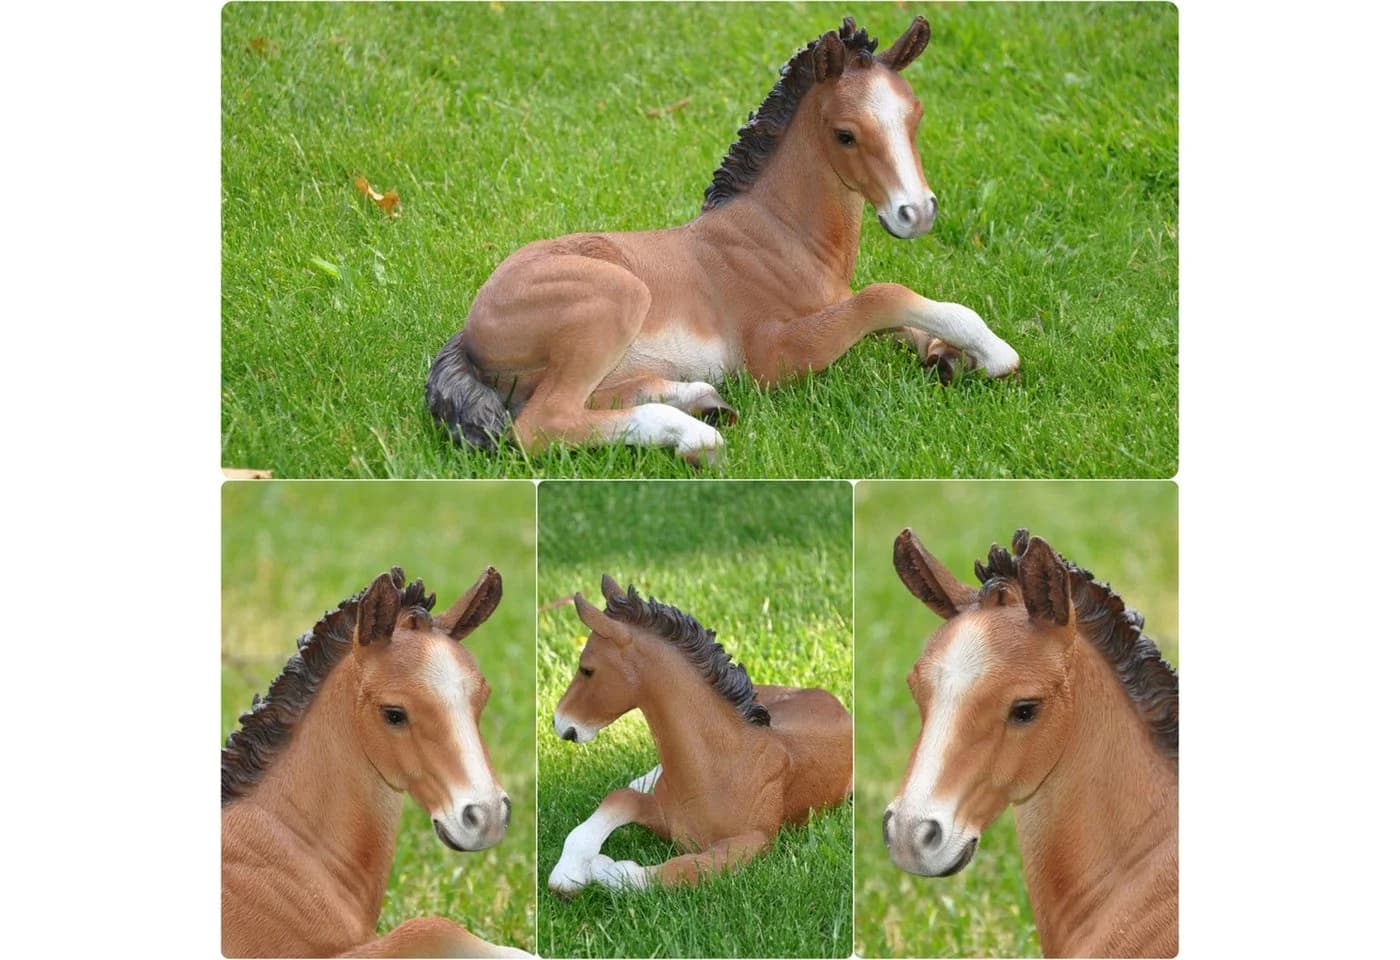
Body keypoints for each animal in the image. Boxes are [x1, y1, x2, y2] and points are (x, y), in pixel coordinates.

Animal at [426, 16, 1020, 464]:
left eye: (915, 117)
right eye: (845, 134)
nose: (915, 213)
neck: (780, 234)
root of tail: (471, 328)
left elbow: (900, 319)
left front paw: (949, 355)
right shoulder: (773, 355)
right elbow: (885, 297)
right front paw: (993, 354)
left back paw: (699, 398)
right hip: (617, 298)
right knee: (543, 423)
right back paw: (693, 433)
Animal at [545, 576, 852, 893]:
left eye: (586, 669)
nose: (560, 721)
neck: (716, 767)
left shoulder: (754, 842)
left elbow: (680, 870)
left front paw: (599, 867)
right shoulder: (662, 813)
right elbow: (620, 798)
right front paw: (568, 872)